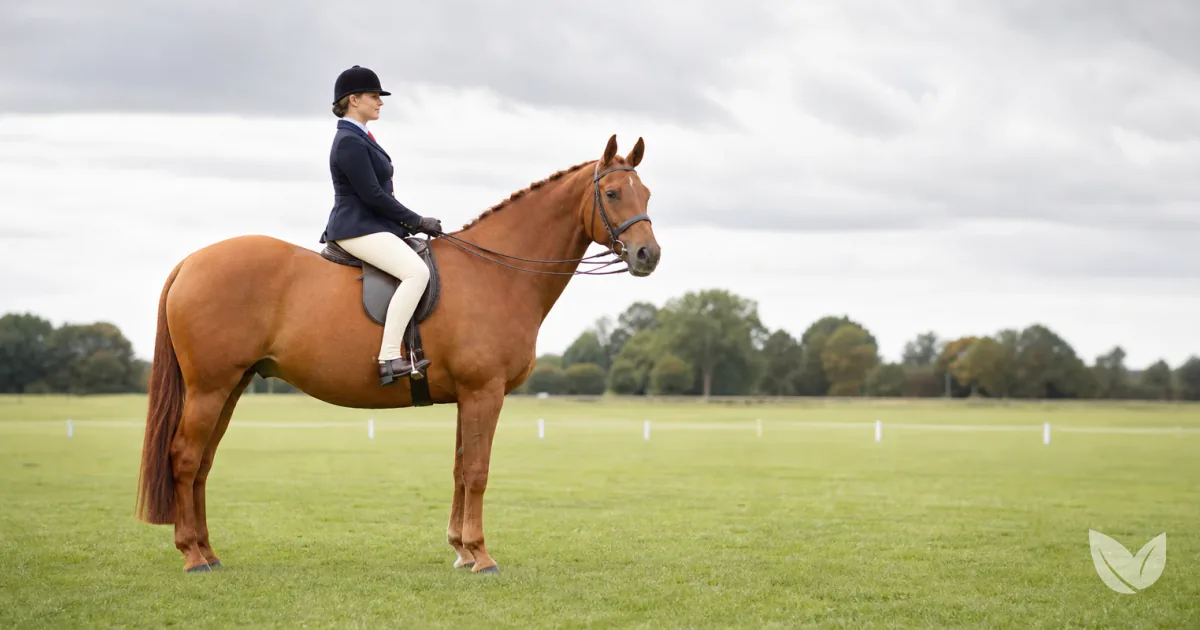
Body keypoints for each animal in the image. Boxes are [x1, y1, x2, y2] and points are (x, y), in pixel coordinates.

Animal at [134, 134, 661, 574]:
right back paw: (192, 556)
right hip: (210, 387)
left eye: (648, 195)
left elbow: (460, 469)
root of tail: (190, 263)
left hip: (232, 386)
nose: (647, 256)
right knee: (185, 457)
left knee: (203, 463)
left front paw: (461, 550)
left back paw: (208, 551)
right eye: (613, 194)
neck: (496, 273)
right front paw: (482, 556)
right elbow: (478, 471)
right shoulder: (484, 391)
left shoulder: (468, 396)